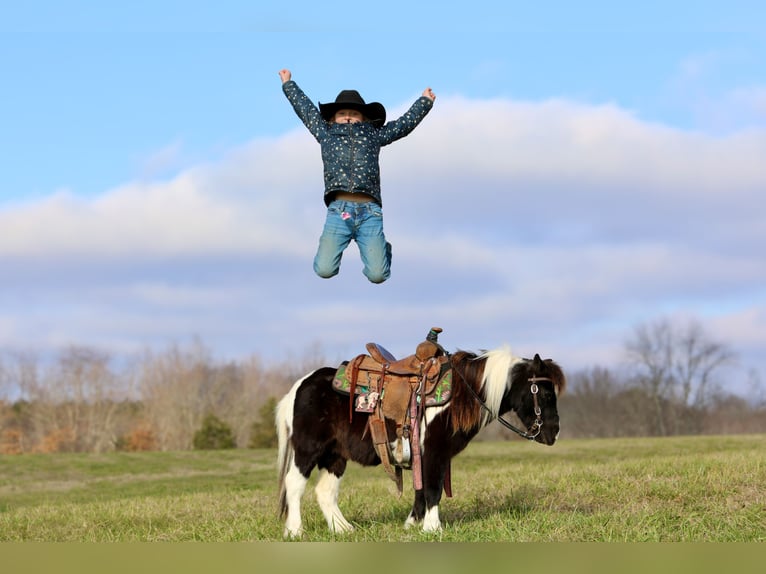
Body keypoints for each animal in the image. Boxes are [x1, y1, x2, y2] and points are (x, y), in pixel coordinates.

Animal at [275, 346, 565, 537]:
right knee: (294, 484)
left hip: (335, 455)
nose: (553, 433)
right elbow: (433, 489)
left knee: (325, 491)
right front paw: (432, 528)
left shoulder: (424, 455)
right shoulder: (434, 452)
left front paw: (413, 524)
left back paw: (343, 529)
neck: (460, 394)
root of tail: (299, 386)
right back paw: (295, 531)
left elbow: (421, 489)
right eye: (545, 393)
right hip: (308, 450)